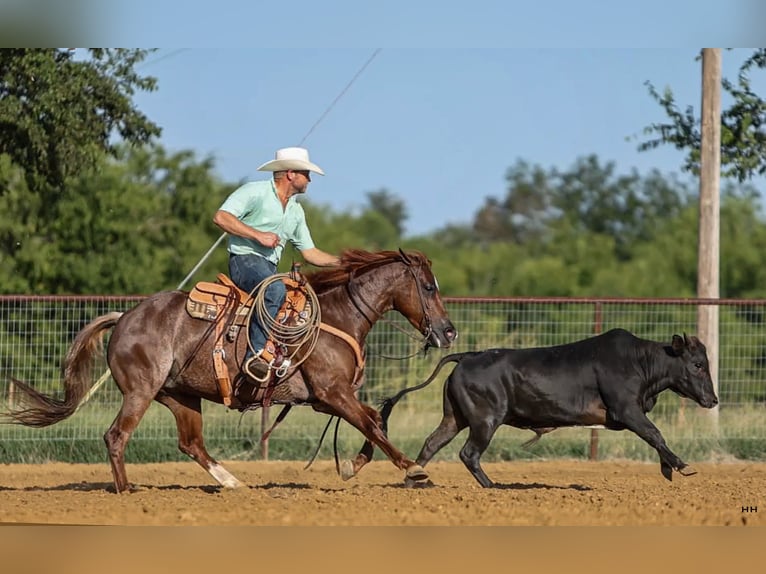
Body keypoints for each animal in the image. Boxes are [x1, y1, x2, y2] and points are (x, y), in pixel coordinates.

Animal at [3, 250, 460, 492]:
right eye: (429, 287)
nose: (449, 331)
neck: (335, 316)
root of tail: (125, 316)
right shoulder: (333, 393)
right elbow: (372, 423)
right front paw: (412, 468)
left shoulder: (326, 399)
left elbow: (374, 420)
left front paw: (354, 465)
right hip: (141, 391)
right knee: (116, 436)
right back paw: (126, 490)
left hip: (181, 396)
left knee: (190, 443)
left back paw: (230, 482)